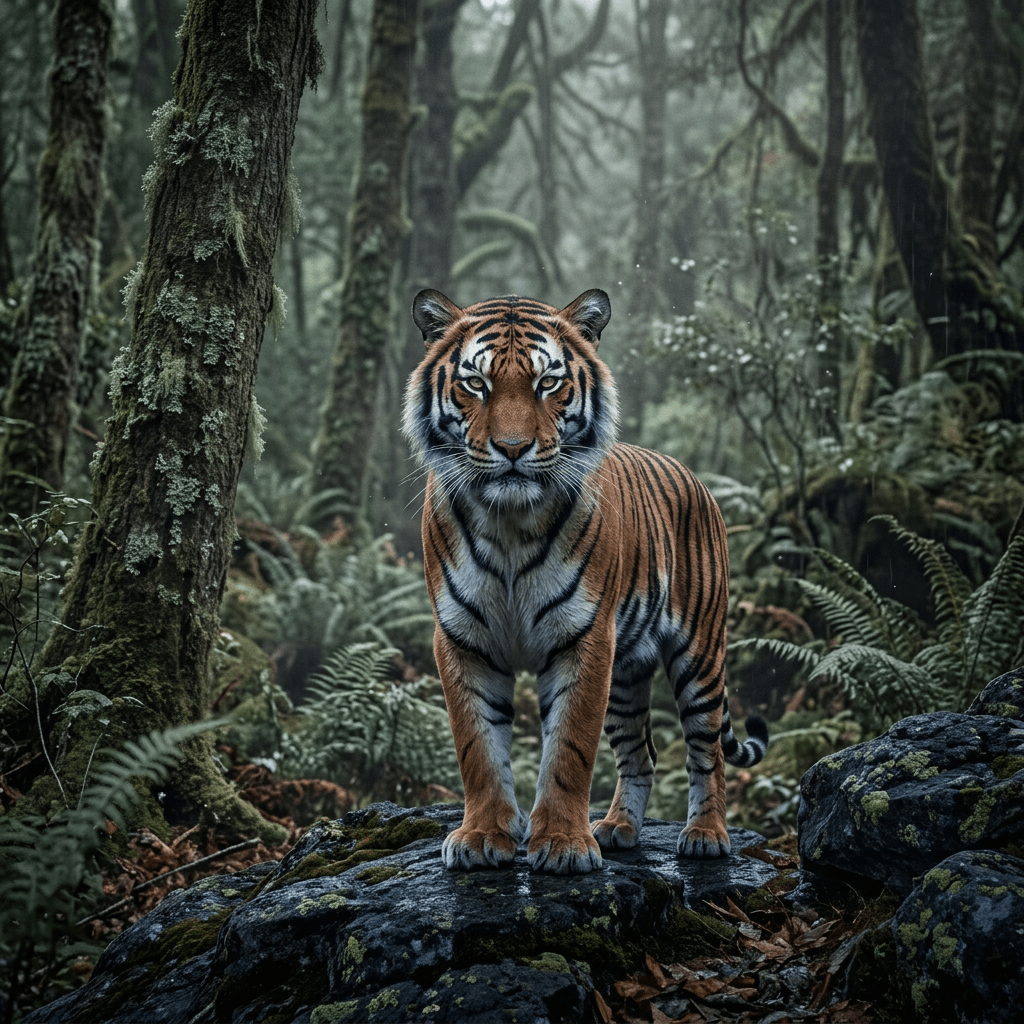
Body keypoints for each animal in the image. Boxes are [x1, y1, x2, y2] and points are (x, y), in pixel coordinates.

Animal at [403, 287, 768, 874]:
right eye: (476, 383)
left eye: (548, 382)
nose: (512, 448)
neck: (509, 523)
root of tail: (696, 479)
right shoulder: (463, 640)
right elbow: (477, 746)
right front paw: (482, 837)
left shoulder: (585, 638)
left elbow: (569, 750)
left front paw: (562, 844)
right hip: (625, 672)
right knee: (642, 753)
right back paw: (619, 828)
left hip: (700, 653)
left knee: (707, 749)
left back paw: (706, 835)